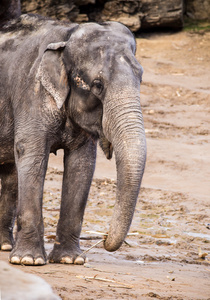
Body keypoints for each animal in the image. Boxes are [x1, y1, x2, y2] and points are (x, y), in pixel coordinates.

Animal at [0, 15, 147, 266]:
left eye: (141, 77)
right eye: (97, 85)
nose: (104, 240)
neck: (67, 34)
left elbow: (82, 165)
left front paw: (70, 260)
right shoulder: (31, 92)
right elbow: (32, 155)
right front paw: (28, 260)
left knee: (10, 174)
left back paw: (4, 245)